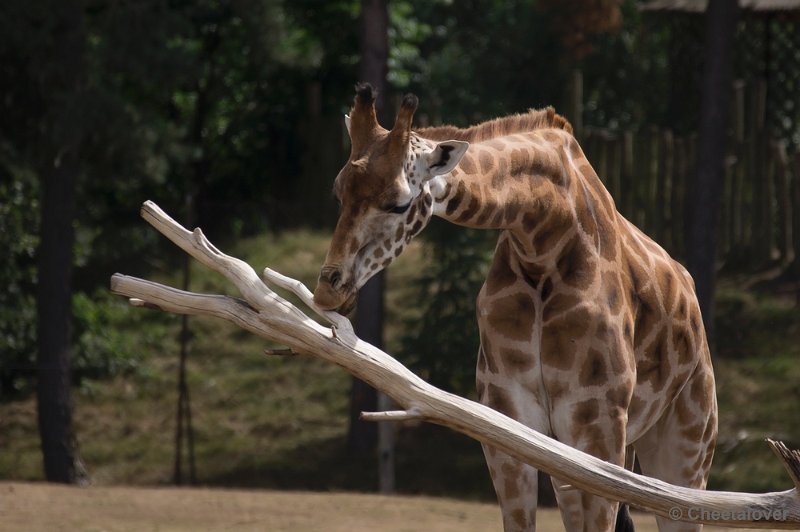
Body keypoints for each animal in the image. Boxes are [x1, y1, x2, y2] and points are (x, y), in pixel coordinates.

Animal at [310, 83, 716, 532]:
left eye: (398, 203)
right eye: (338, 191)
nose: (329, 290)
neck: (543, 241)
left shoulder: (597, 422)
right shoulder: (509, 421)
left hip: (687, 446)